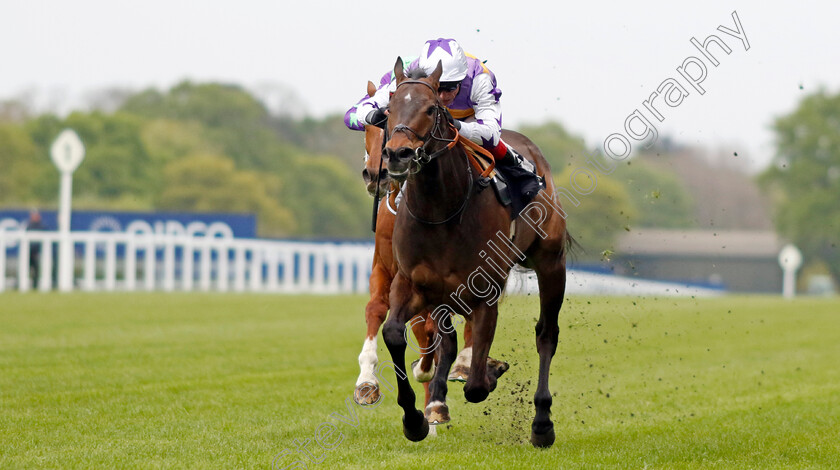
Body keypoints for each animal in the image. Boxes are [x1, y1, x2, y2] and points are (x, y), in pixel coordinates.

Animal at [380, 58, 572, 448]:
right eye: (389, 108)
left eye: (431, 109)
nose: (398, 154)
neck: (442, 211)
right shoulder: (411, 283)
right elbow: (393, 333)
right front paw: (414, 420)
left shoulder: (486, 293)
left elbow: (477, 386)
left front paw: (490, 370)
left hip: (551, 263)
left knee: (546, 334)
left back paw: (542, 423)